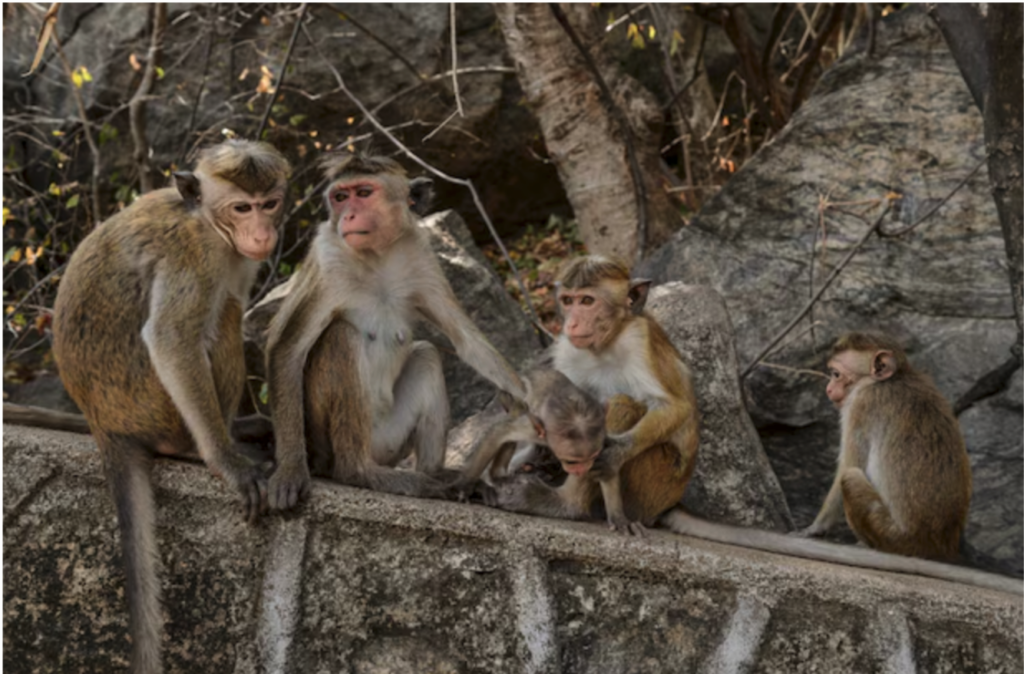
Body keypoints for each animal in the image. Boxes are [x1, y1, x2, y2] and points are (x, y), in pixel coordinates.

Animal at [50, 139, 290, 674]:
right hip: (152, 407)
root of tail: (103, 424)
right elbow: (172, 338)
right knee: (222, 315)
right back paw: (204, 446)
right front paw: (226, 462)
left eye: (268, 203)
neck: (203, 218)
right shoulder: (197, 256)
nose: (263, 232)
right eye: (241, 208)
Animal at [264, 153, 526, 511]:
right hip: (323, 440)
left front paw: (527, 404)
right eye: (340, 197)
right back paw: (359, 471)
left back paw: (437, 474)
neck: (377, 256)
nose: (348, 215)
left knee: (427, 355)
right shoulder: (328, 258)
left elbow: (466, 340)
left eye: (363, 192)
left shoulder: (421, 256)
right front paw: (290, 470)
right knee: (342, 336)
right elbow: (288, 349)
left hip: (390, 440)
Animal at [476, 255, 700, 535]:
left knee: (620, 405)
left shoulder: (639, 339)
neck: (606, 345)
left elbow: (675, 407)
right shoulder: (568, 348)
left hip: (655, 484)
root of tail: (669, 504)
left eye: (587, 301)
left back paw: (564, 503)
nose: (571, 323)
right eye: (568, 300)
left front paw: (616, 452)